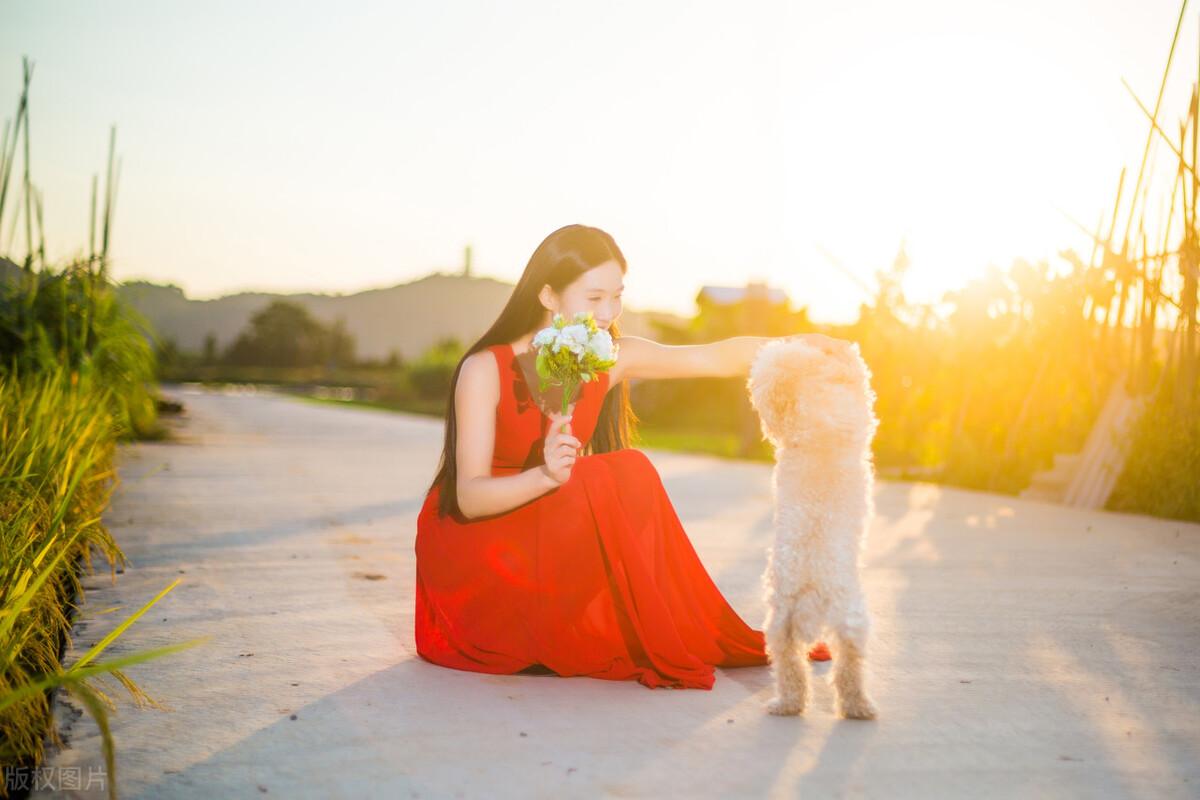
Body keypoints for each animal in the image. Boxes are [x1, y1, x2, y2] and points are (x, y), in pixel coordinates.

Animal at [748, 335, 883, 724]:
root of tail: (812, 584)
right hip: (843, 619)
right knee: (839, 668)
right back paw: (852, 706)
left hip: (790, 624)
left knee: (796, 665)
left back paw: (802, 704)